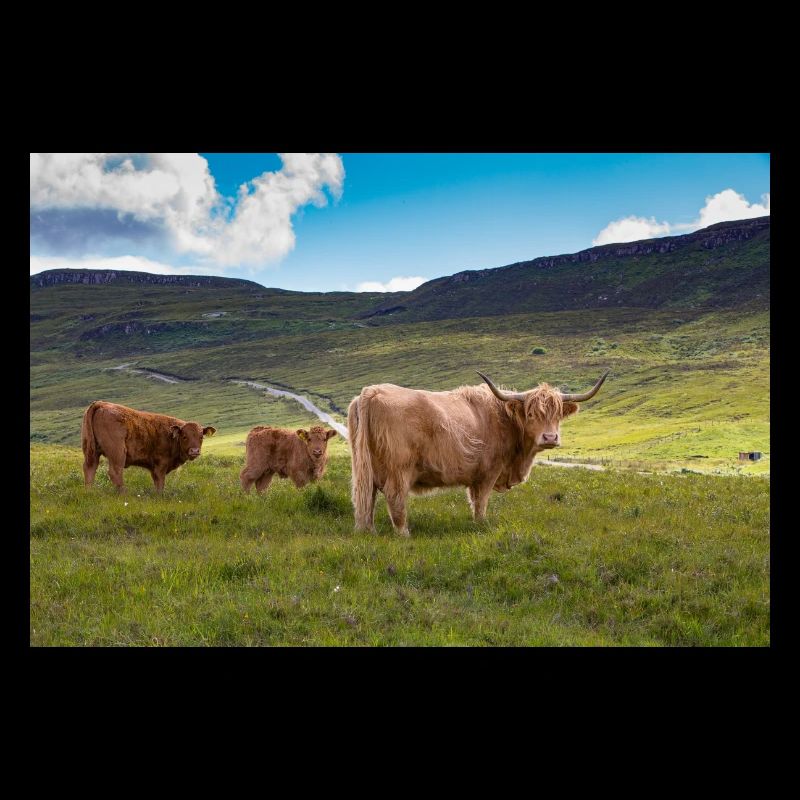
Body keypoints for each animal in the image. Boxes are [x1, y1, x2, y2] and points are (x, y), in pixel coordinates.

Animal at [81, 401, 216, 492]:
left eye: (201, 436)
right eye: (184, 436)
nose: (195, 450)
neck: (171, 435)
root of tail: (101, 404)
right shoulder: (160, 465)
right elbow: (160, 483)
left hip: (91, 451)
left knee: (90, 468)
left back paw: (89, 491)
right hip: (117, 452)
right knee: (115, 472)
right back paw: (124, 494)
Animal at [347, 371, 608, 536]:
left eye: (557, 414)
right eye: (531, 413)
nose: (550, 438)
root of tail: (372, 391)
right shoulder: (487, 473)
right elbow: (481, 502)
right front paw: (481, 524)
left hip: (365, 468)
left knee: (366, 498)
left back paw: (368, 531)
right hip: (399, 470)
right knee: (395, 498)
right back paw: (404, 534)